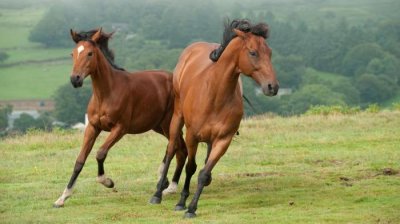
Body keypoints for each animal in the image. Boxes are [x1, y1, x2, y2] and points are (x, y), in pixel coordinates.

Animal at [52, 28, 188, 208]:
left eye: (90, 53)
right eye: (72, 53)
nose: (75, 79)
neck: (106, 93)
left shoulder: (120, 129)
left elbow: (100, 153)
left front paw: (107, 181)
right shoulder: (93, 128)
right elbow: (79, 161)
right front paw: (62, 197)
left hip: (168, 124)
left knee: (178, 147)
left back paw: (167, 184)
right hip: (157, 126)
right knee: (179, 148)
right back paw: (167, 183)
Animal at [150, 19, 278, 217]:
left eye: (270, 52)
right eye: (253, 52)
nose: (272, 87)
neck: (215, 94)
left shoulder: (223, 140)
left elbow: (203, 173)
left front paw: (192, 208)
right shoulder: (192, 136)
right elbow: (191, 167)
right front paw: (181, 202)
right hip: (177, 117)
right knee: (171, 150)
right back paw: (157, 194)